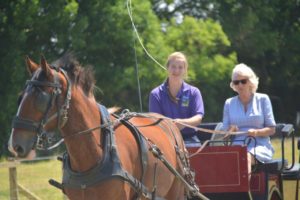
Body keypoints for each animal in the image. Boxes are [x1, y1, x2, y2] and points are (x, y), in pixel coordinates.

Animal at [8, 54, 198, 200]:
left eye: (40, 98)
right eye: (20, 97)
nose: (15, 145)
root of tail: (169, 123)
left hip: (175, 191)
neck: (96, 151)